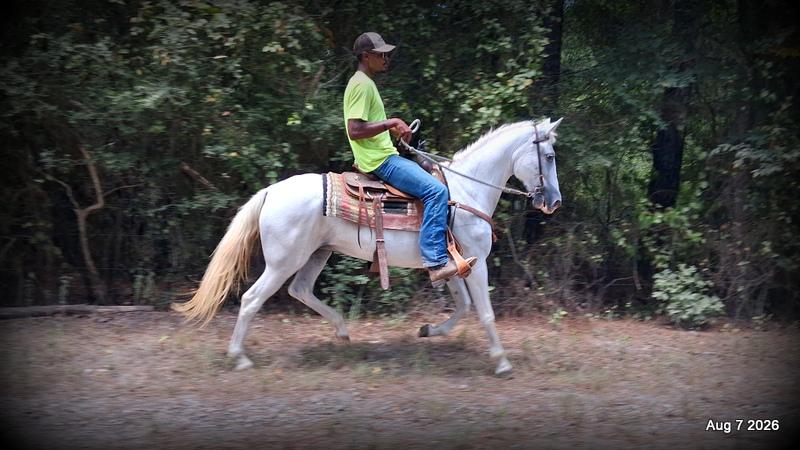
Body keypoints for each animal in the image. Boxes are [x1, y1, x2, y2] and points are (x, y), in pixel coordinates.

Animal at [173, 117, 563, 375]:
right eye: (549, 156)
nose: (554, 202)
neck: (467, 191)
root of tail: (270, 192)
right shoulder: (476, 263)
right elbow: (484, 312)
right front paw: (502, 361)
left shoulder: (454, 265)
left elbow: (464, 306)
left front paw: (429, 330)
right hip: (284, 261)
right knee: (253, 299)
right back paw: (239, 357)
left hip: (318, 253)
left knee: (301, 290)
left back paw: (342, 330)